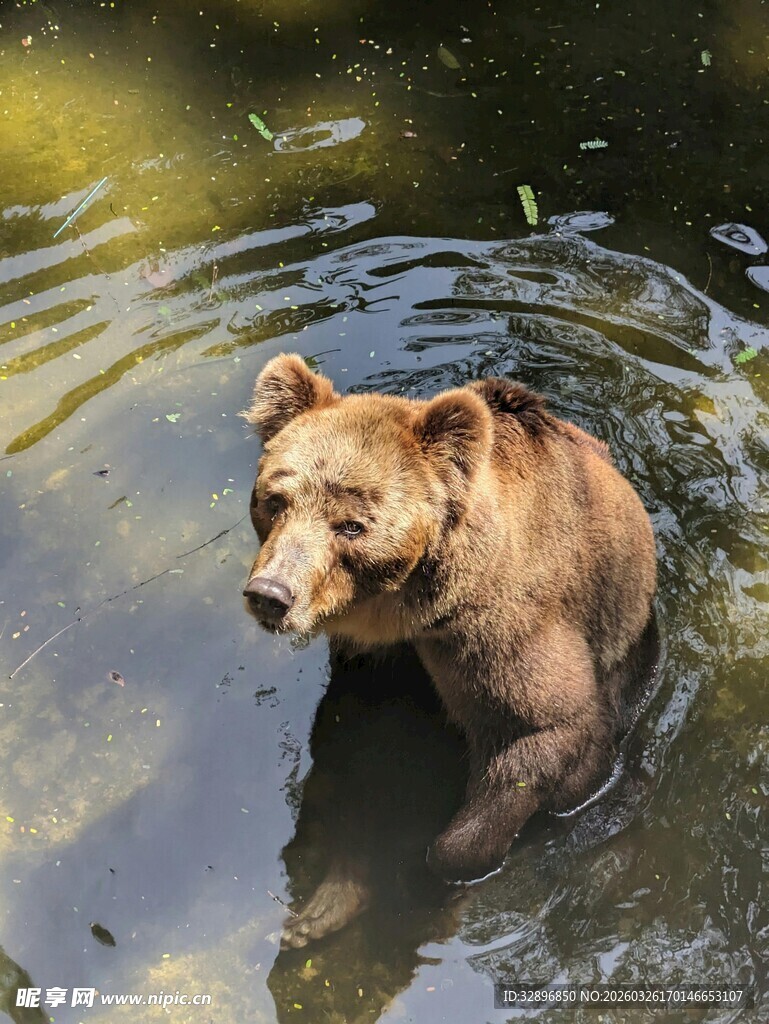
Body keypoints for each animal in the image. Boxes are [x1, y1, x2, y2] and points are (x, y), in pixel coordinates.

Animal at [241, 353, 657, 941]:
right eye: (275, 501)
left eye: (351, 525)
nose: (271, 594)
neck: (411, 608)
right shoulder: (375, 662)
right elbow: (358, 749)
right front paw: (336, 894)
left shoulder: (496, 631)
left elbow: (549, 729)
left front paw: (434, 873)